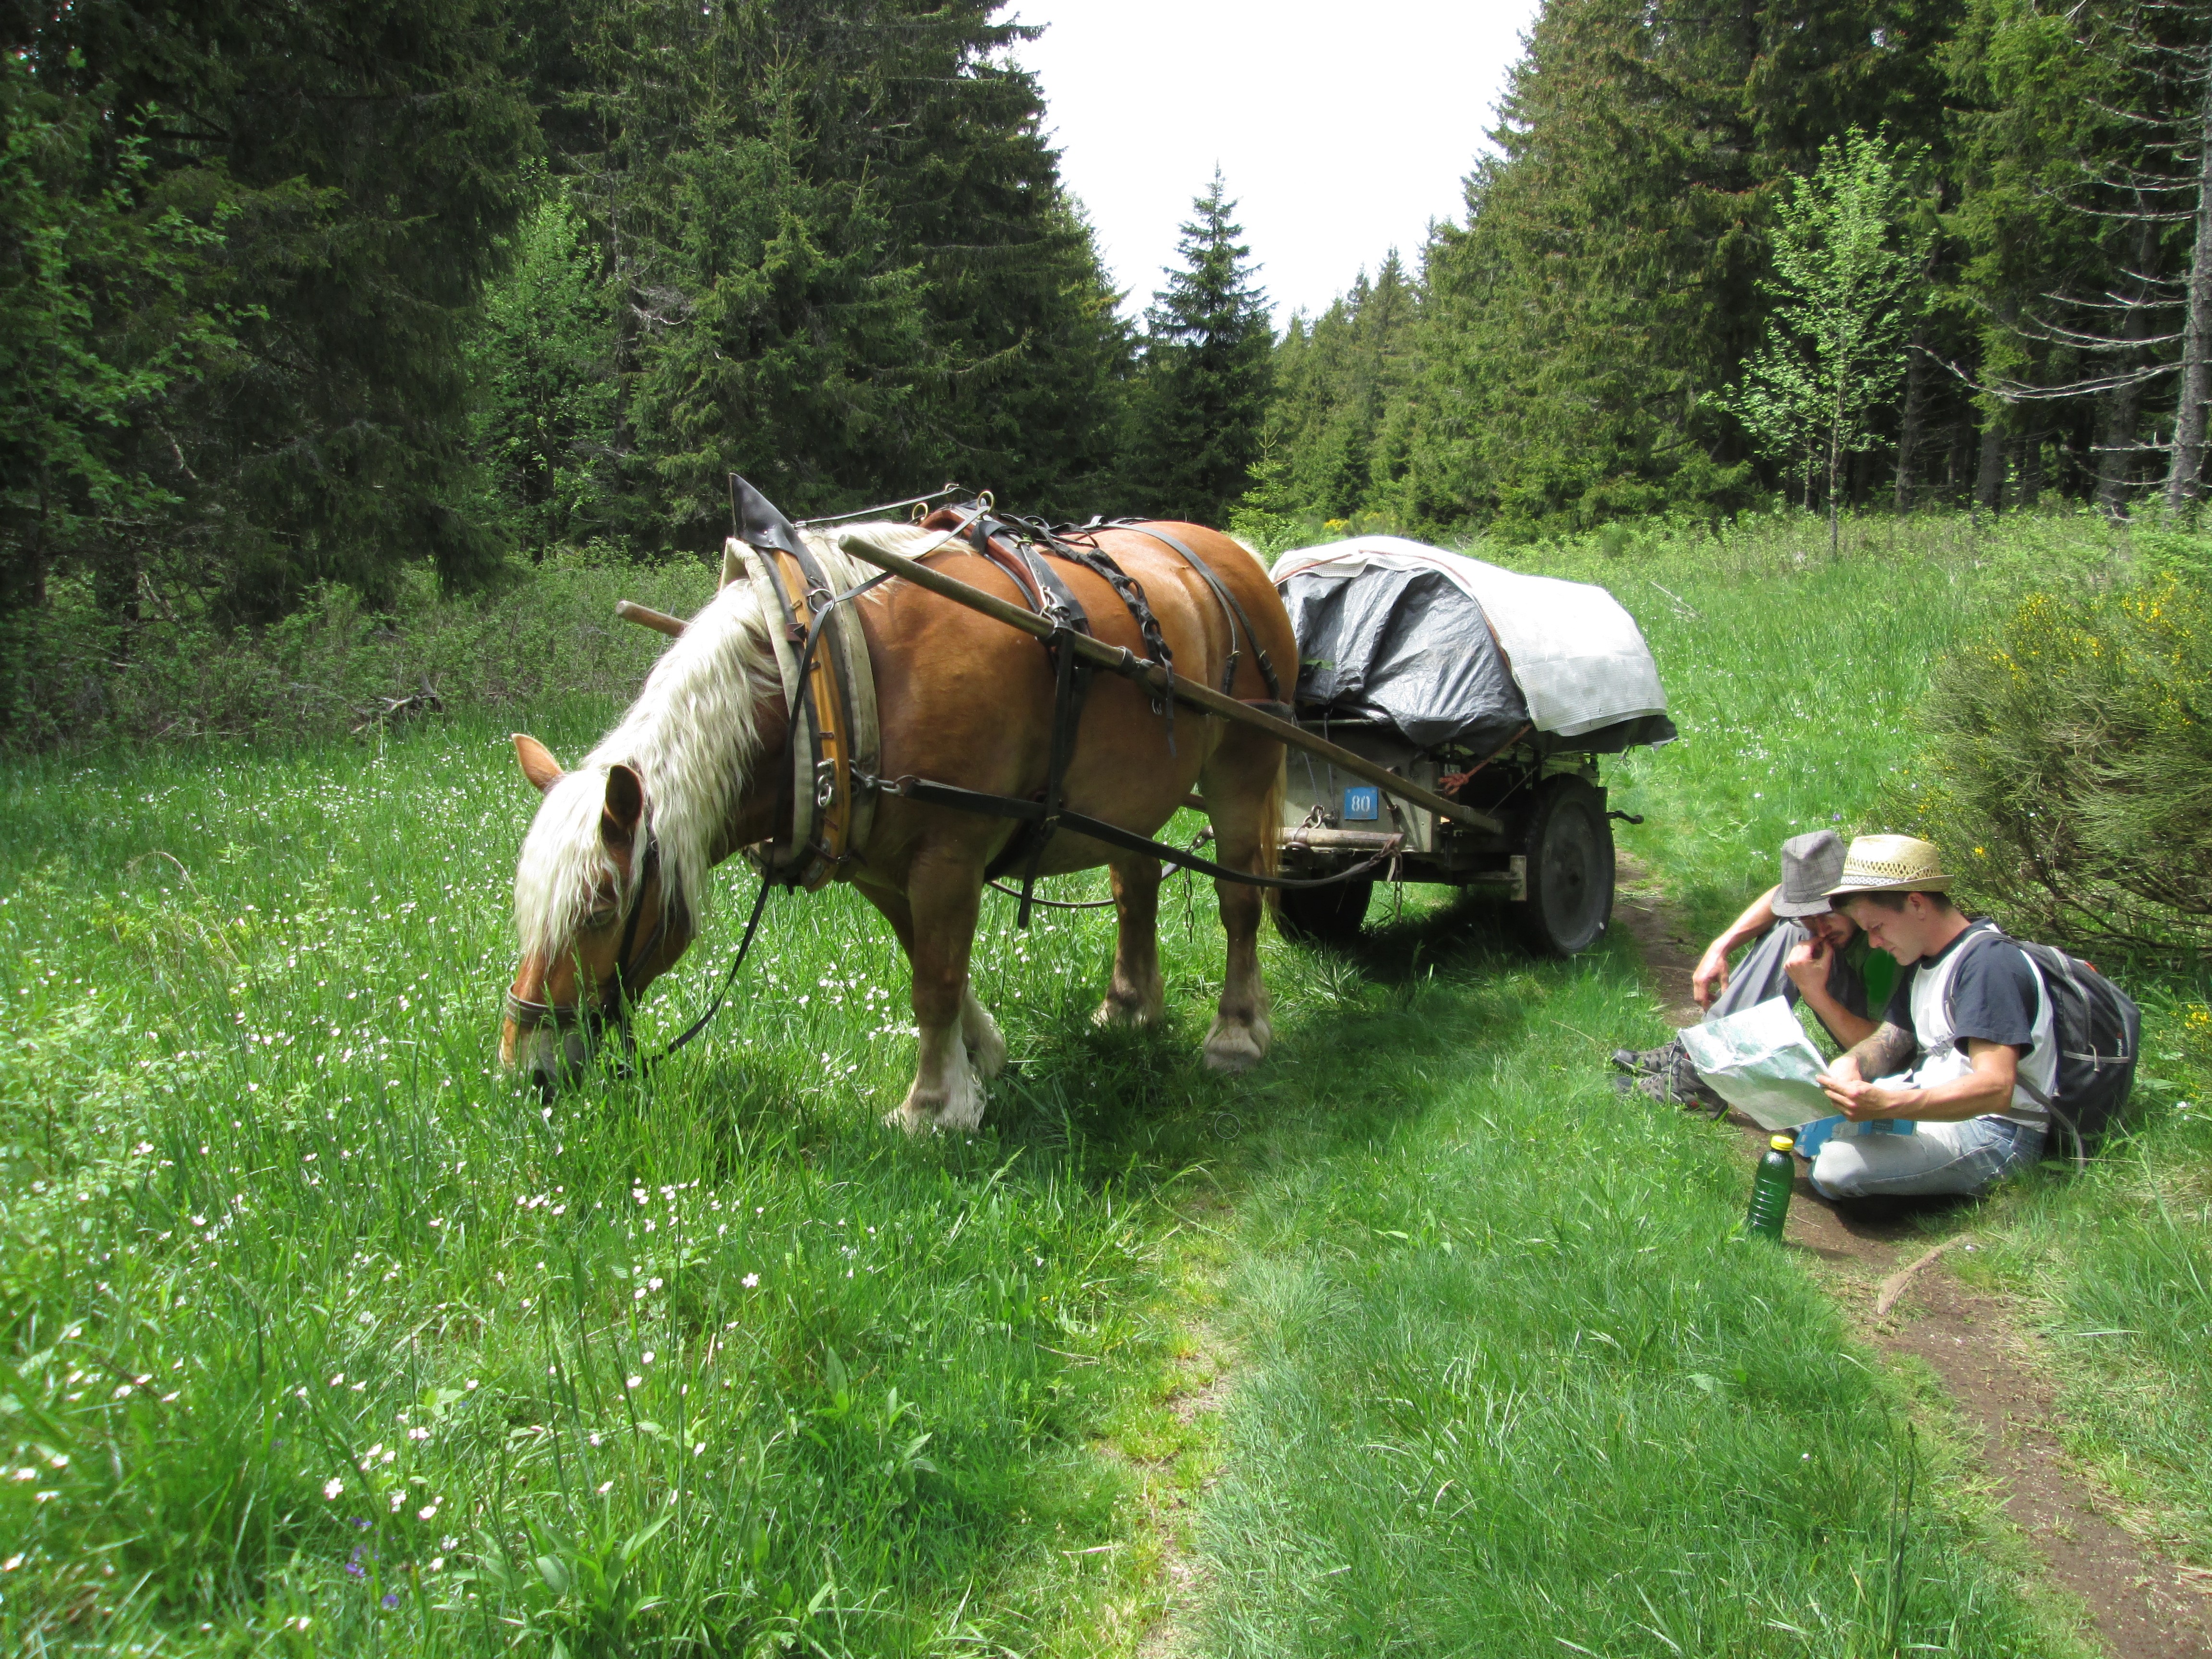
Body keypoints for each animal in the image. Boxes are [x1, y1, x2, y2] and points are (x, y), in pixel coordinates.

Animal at [500, 513, 1295, 1132]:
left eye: (600, 909)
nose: (524, 1068)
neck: (824, 679)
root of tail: (1230, 551)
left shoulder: (948, 855)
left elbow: (935, 980)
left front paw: (934, 1106)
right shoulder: (879, 867)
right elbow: (928, 963)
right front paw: (980, 1061)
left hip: (1244, 764)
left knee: (1239, 898)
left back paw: (1236, 1033)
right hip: (1127, 797)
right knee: (1136, 885)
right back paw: (1129, 1007)